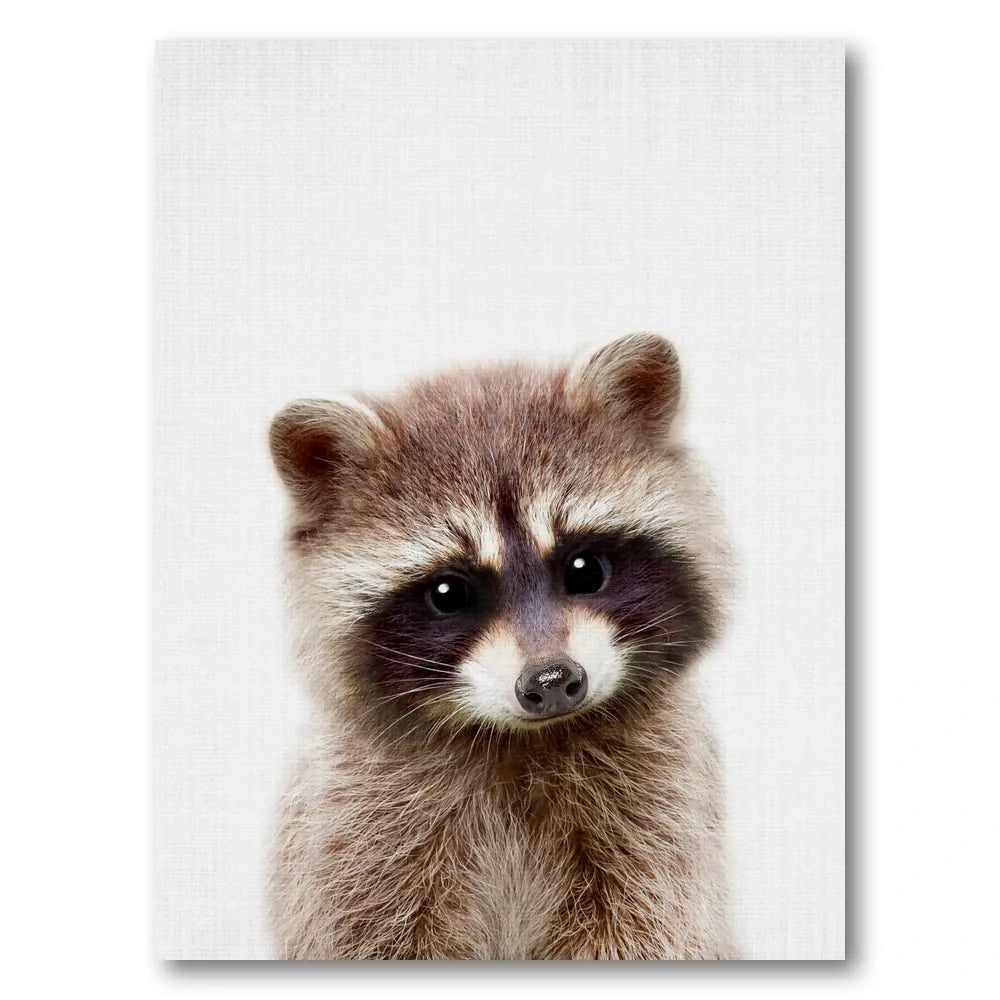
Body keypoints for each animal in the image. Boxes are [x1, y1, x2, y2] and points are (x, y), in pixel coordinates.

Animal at [268, 333, 735, 960]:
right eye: (448, 593)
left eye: (585, 569)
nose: (552, 681)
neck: (521, 741)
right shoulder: (355, 830)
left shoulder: (662, 812)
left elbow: (652, 924)